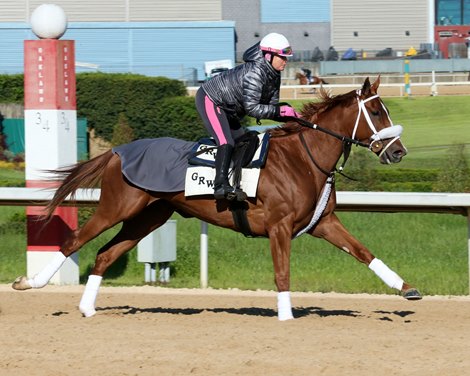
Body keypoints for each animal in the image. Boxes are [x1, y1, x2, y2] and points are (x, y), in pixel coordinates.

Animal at [11, 76, 422, 320]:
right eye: (375, 110)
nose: (398, 152)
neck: (302, 158)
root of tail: (116, 151)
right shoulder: (279, 227)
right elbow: (282, 272)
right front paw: (286, 315)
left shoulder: (324, 222)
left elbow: (364, 252)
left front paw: (407, 289)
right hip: (117, 207)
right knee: (74, 241)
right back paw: (30, 283)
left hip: (149, 216)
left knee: (104, 254)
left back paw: (87, 308)